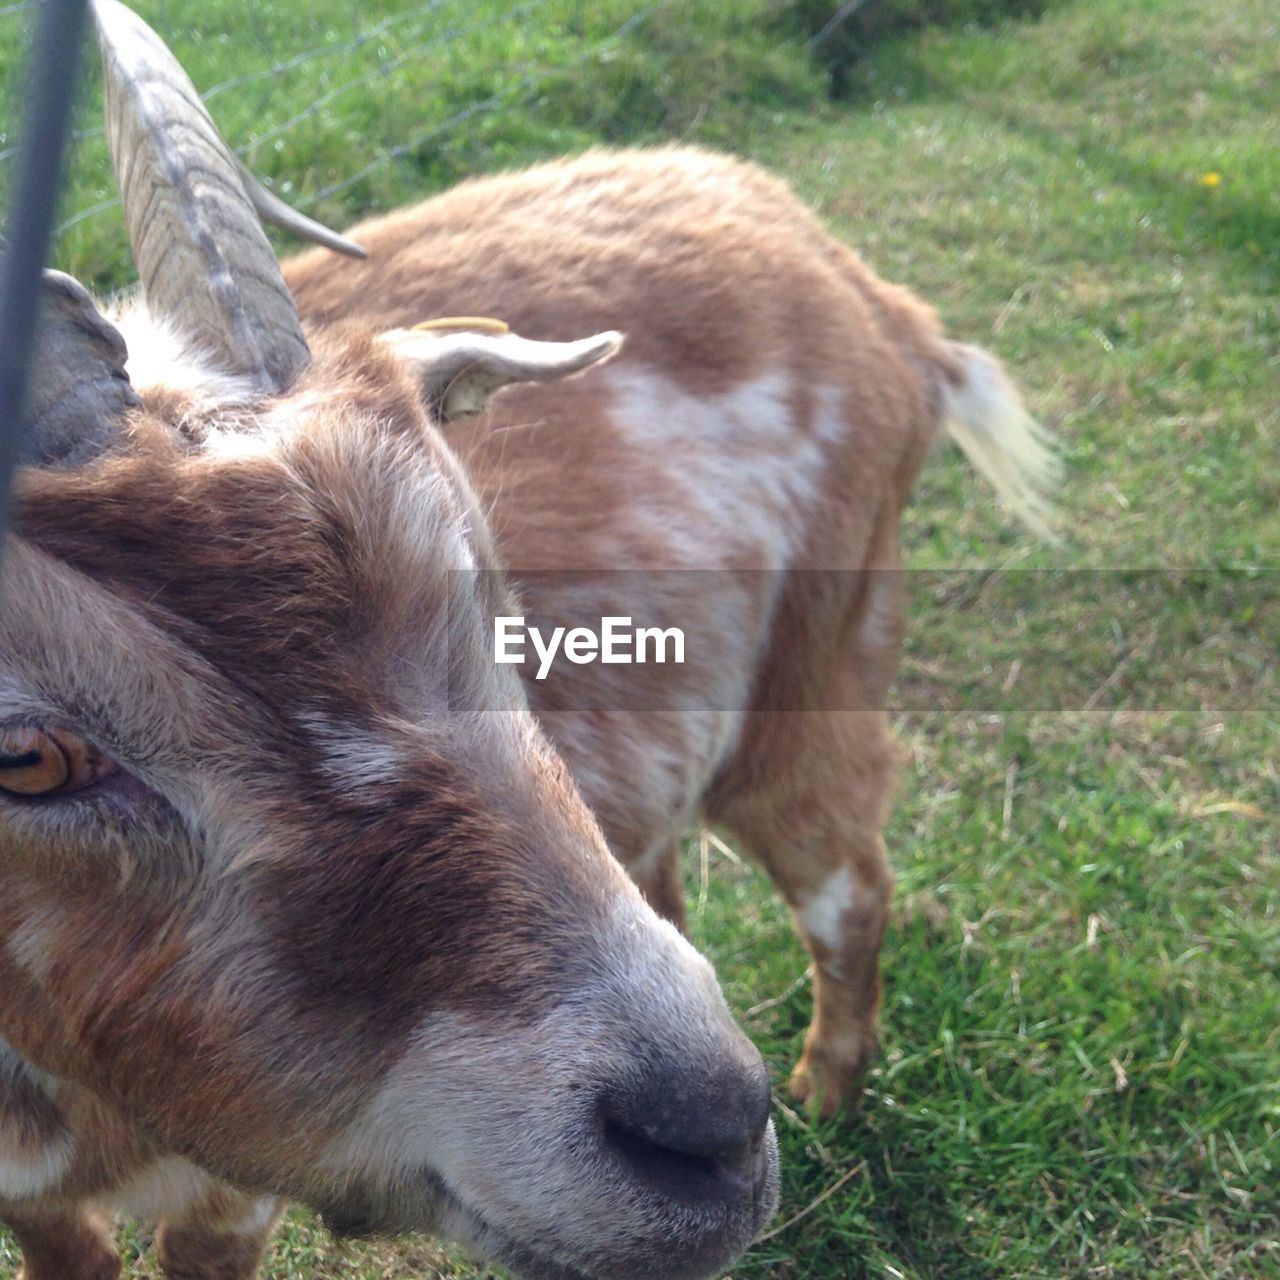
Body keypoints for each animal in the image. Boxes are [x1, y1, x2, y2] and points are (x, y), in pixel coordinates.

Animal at [5, 2, 1054, 1280]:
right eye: (29, 756)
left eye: (480, 581)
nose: (703, 1128)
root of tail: (878, 304)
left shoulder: (232, 1181)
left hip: (821, 656)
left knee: (847, 881)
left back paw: (826, 1089)